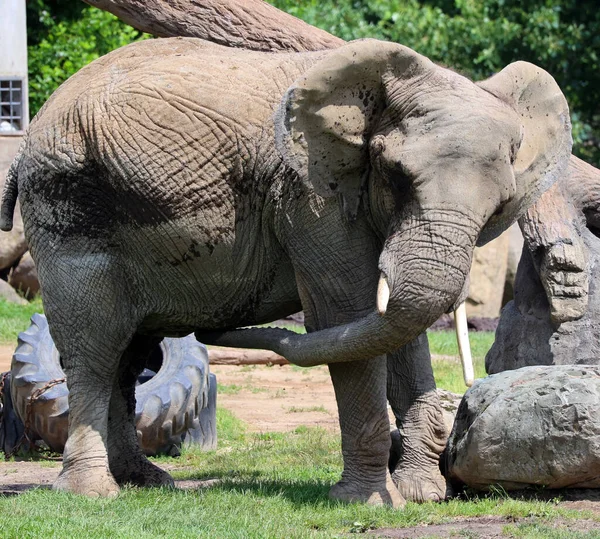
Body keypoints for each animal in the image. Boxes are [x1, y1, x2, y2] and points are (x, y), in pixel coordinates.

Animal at [1, 38, 572, 506]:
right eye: (395, 175)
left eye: (501, 203)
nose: (216, 328)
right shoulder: (310, 197)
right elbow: (345, 313)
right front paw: (367, 503)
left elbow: (395, 326)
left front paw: (419, 493)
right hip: (70, 207)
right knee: (95, 347)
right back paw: (93, 494)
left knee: (128, 351)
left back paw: (145, 481)